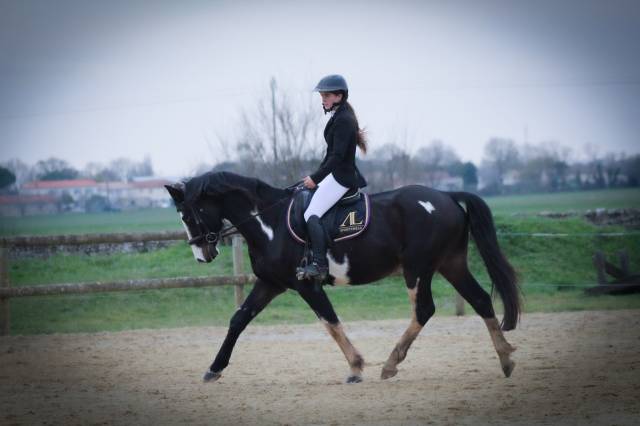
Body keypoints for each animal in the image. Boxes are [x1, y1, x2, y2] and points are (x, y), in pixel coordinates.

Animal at [165, 171, 521, 384]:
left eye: (187, 215)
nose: (202, 256)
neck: (270, 223)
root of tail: (446, 196)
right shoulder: (271, 284)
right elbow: (238, 319)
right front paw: (213, 368)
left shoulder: (305, 284)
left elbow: (330, 322)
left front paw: (356, 367)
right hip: (451, 264)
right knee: (480, 300)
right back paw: (505, 359)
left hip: (418, 270)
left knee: (424, 310)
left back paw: (390, 364)